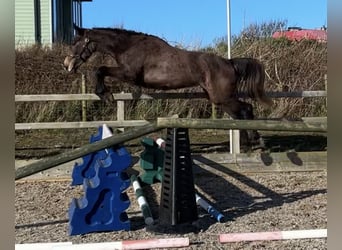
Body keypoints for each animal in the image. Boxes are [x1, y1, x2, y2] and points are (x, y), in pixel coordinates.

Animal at [64, 25, 272, 146]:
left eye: (75, 42)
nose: (67, 65)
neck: (127, 46)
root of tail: (229, 63)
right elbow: (101, 70)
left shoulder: (129, 74)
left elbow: (99, 70)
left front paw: (105, 94)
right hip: (218, 98)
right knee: (238, 114)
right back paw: (247, 142)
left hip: (222, 96)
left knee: (246, 109)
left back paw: (257, 140)